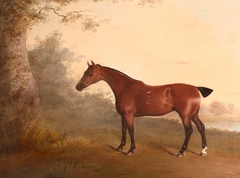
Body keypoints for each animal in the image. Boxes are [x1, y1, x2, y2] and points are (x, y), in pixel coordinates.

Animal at [76, 61, 213, 157]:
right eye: (84, 72)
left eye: (91, 73)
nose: (78, 87)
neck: (125, 88)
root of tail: (195, 88)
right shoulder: (123, 116)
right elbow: (123, 130)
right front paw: (120, 147)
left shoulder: (129, 115)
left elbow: (131, 131)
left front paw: (130, 150)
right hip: (193, 115)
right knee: (201, 127)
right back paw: (203, 151)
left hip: (185, 116)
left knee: (189, 131)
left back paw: (181, 152)